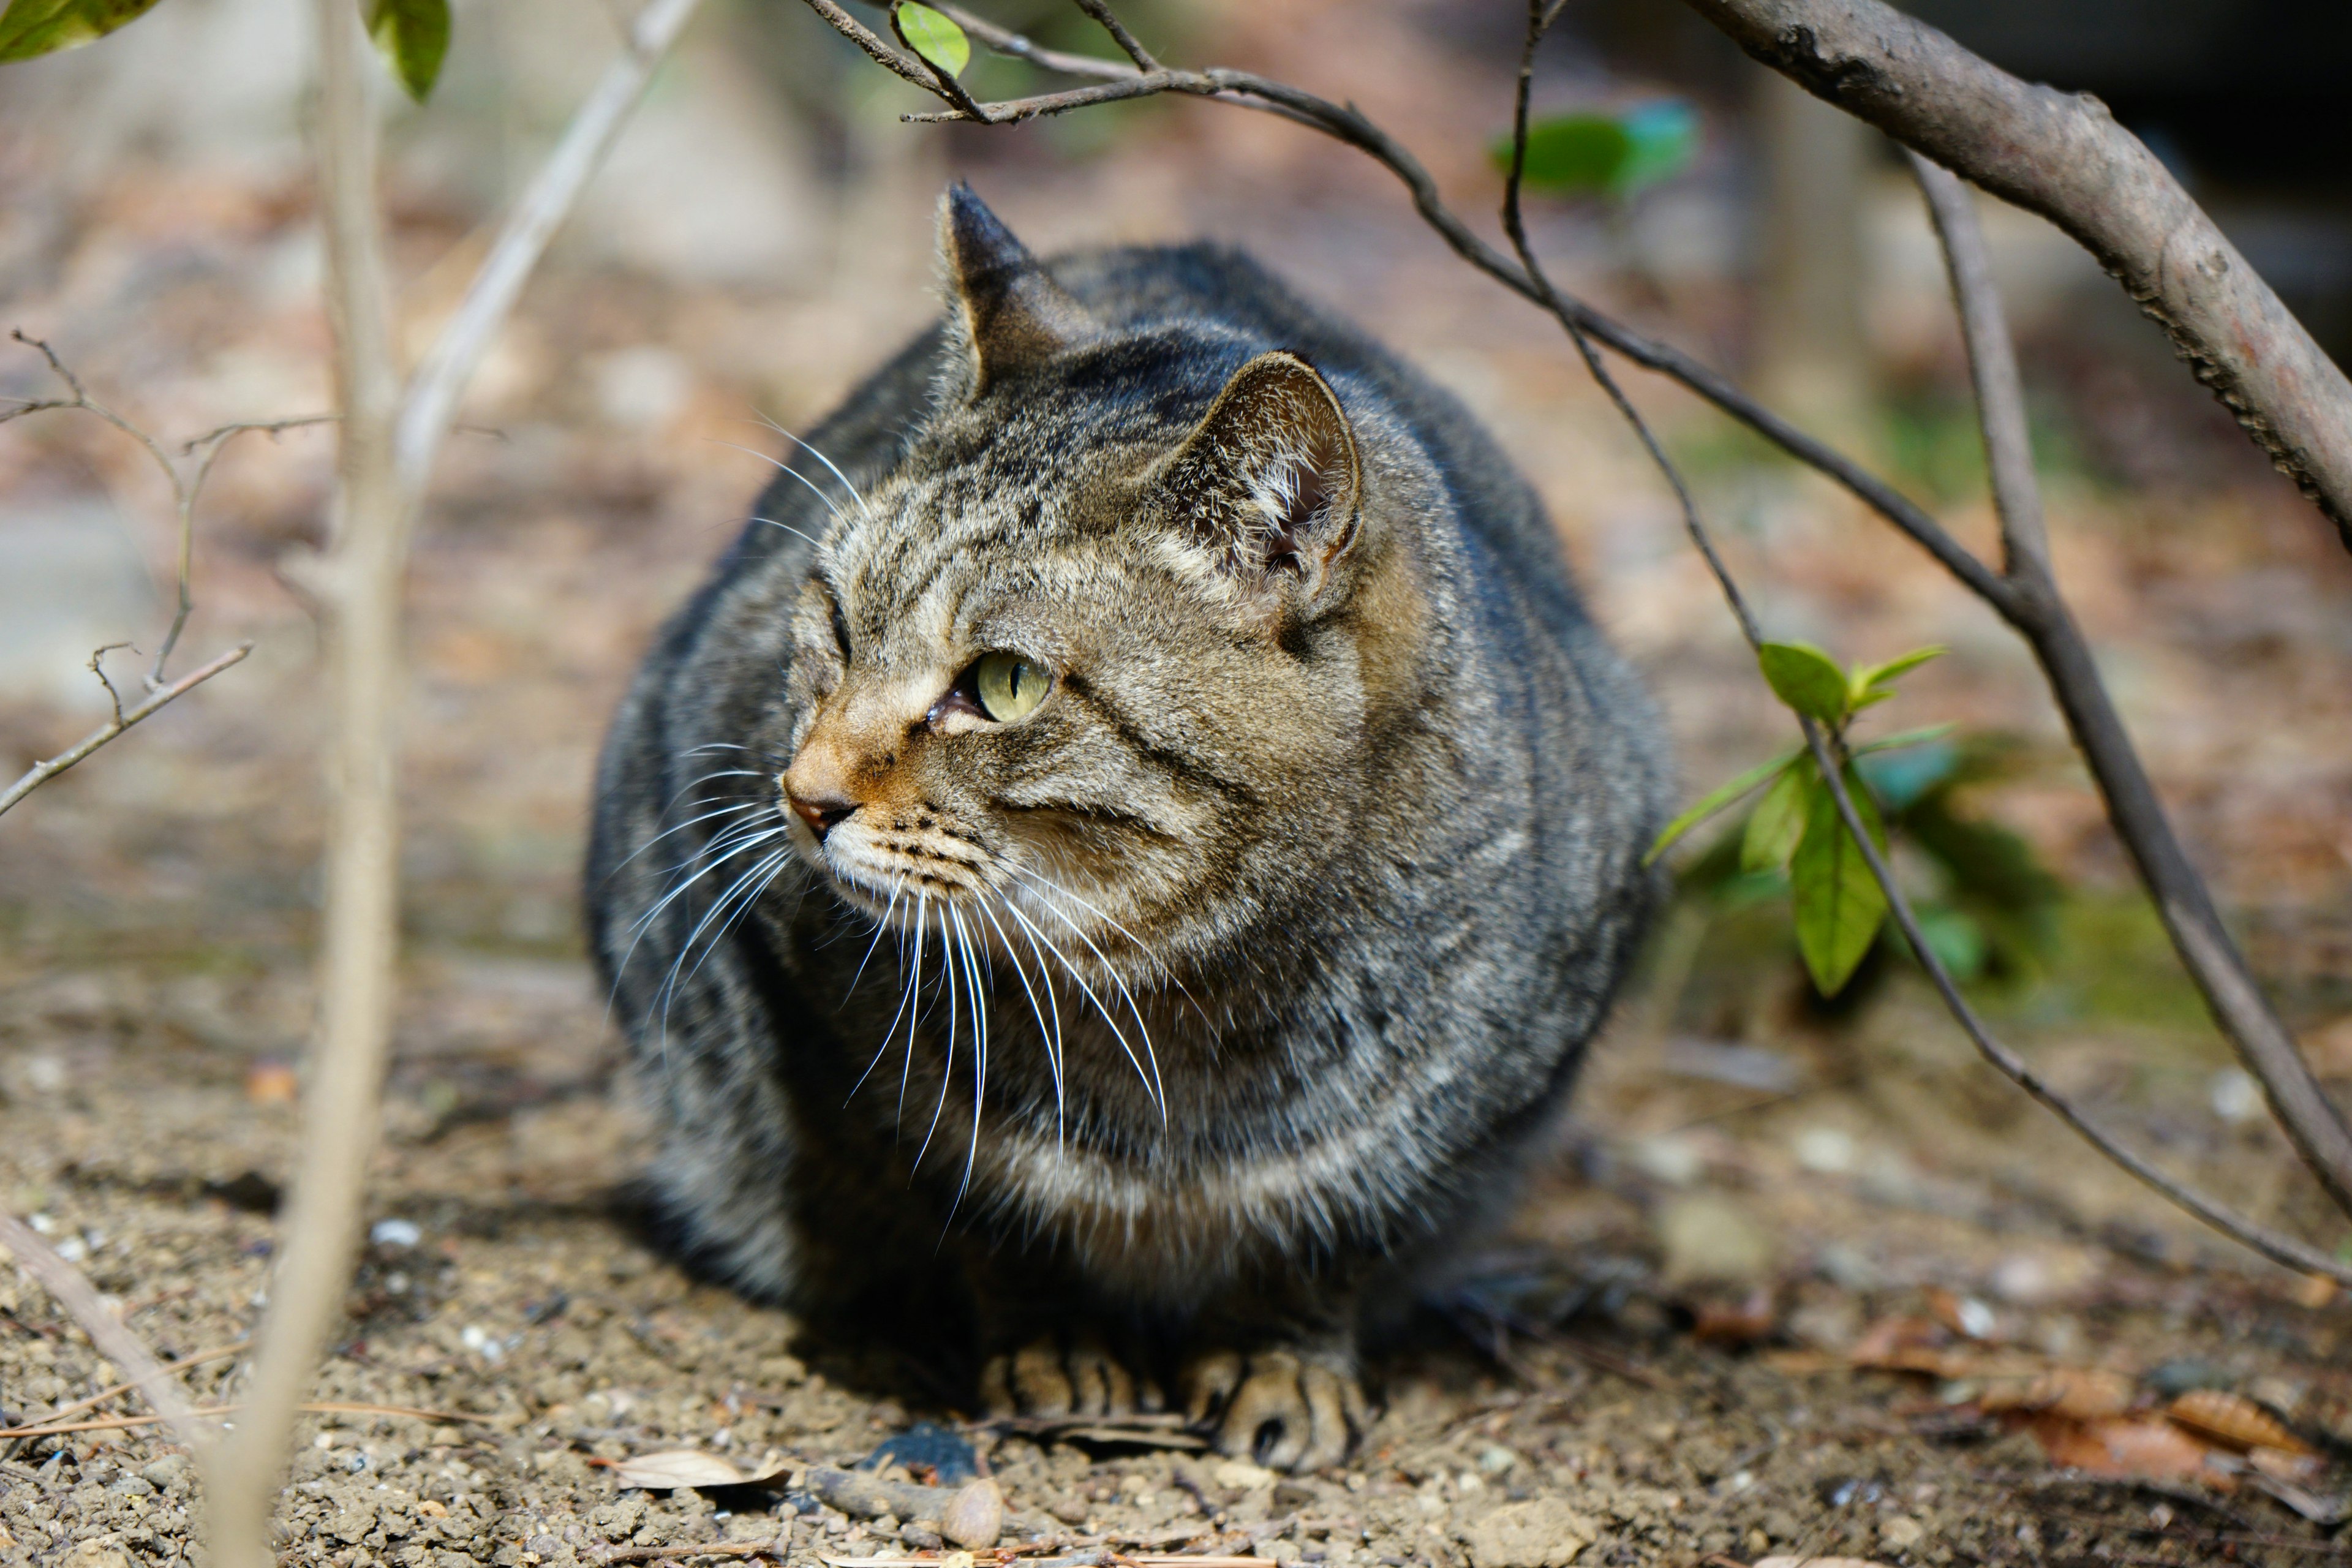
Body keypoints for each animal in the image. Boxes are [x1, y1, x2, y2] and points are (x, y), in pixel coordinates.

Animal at [583, 184, 1675, 1476]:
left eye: (1003, 684)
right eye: (838, 624)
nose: (803, 794)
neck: (1185, 1005)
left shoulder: (1496, 1086)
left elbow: (1334, 1237)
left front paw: (1281, 1358)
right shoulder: (814, 1017)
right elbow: (984, 1203)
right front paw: (1057, 1339)